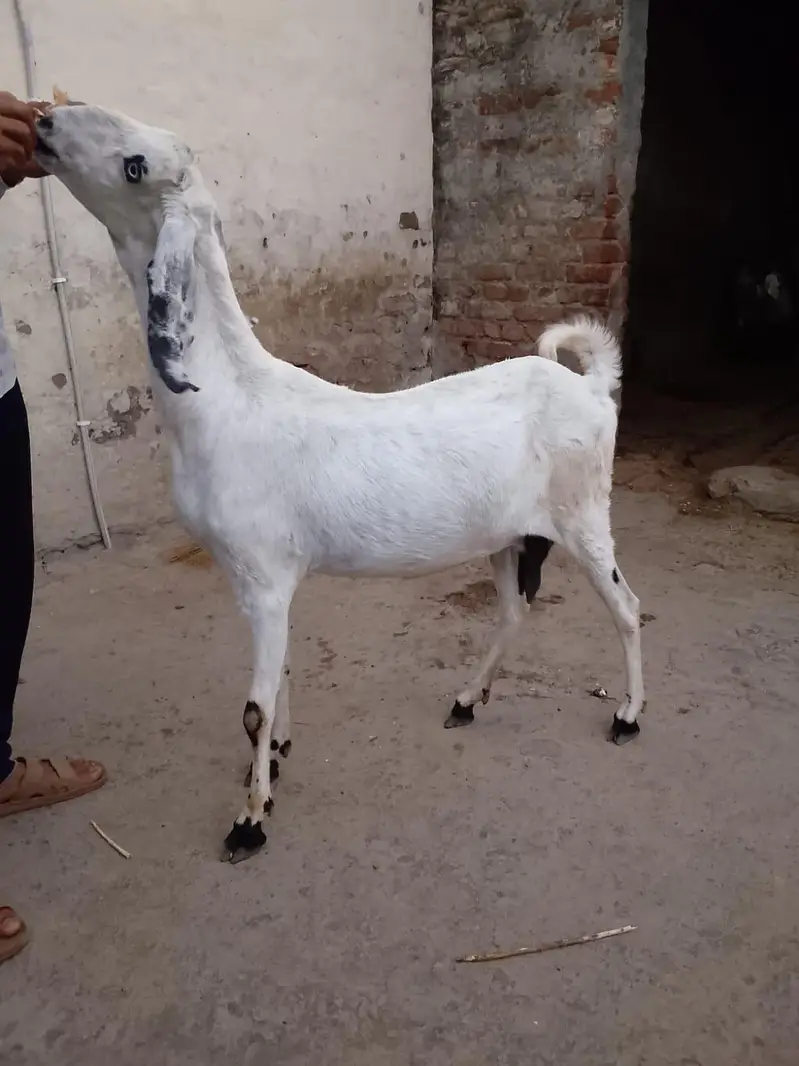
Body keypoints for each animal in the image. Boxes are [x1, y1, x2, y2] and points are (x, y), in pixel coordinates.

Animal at [35, 104, 645, 862]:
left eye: (134, 165)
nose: (43, 123)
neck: (232, 399)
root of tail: (590, 385)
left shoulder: (264, 575)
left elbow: (252, 707)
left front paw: (249, 820)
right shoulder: (258, 581)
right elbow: (280, 679)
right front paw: (275, 761)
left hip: (585, 515)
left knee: (626, 608)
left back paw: (627, 716)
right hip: (512, 534)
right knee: (512, 612)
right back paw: (465, 701)